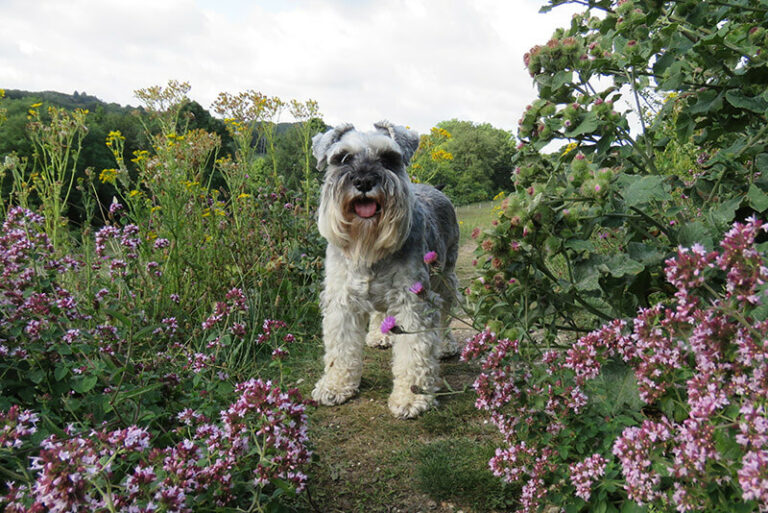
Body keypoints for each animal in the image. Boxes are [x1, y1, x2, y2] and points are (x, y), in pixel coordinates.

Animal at [308, 122, 460, 418]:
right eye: (341, 157)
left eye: (389, 158)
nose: (364, 181)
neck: (368, 245)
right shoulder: (341, 301)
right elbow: (340, 348)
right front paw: (335, 386)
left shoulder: (413, 300)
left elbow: (414, 352)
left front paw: (412, 398)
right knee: (380, 311)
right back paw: (379, 336)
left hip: (446, 277)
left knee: (447, 314)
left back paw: (446, 345)